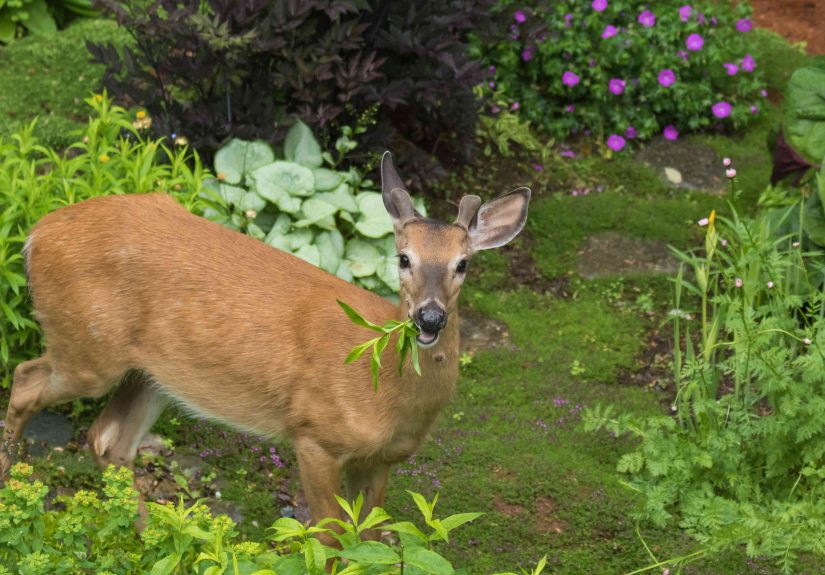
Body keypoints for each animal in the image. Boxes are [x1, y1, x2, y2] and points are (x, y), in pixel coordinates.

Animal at [0, 152, 530, 539]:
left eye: (463, 263)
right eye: (404, 258)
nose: (430, 317)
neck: (386, 392)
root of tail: (35, 233)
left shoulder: (380, 460)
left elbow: (368, 538)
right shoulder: (314, 433)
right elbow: (329, 537)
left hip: (153, 374)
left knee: (109, 440)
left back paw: (151, 539)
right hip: (88, 347)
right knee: (25, 380)